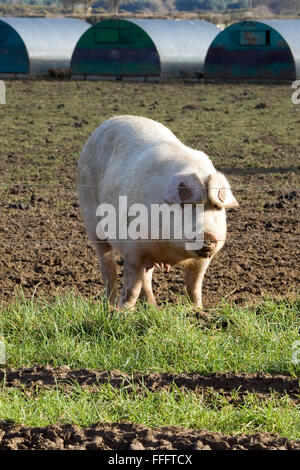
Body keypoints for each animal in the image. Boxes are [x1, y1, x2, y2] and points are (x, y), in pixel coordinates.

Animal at [78, 114, 238, 308]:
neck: (172, 249)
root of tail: (107, 122)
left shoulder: (202, 260)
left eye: (215, 207)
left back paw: (153, 308)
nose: (207, 235)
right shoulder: (134, 248)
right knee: (107, 264)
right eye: (186, 205)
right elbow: (131, 288)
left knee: (146, 278)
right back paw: (110, 304)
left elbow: (194, 288)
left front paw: (198, 310)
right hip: (91, 218)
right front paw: (123, 311)